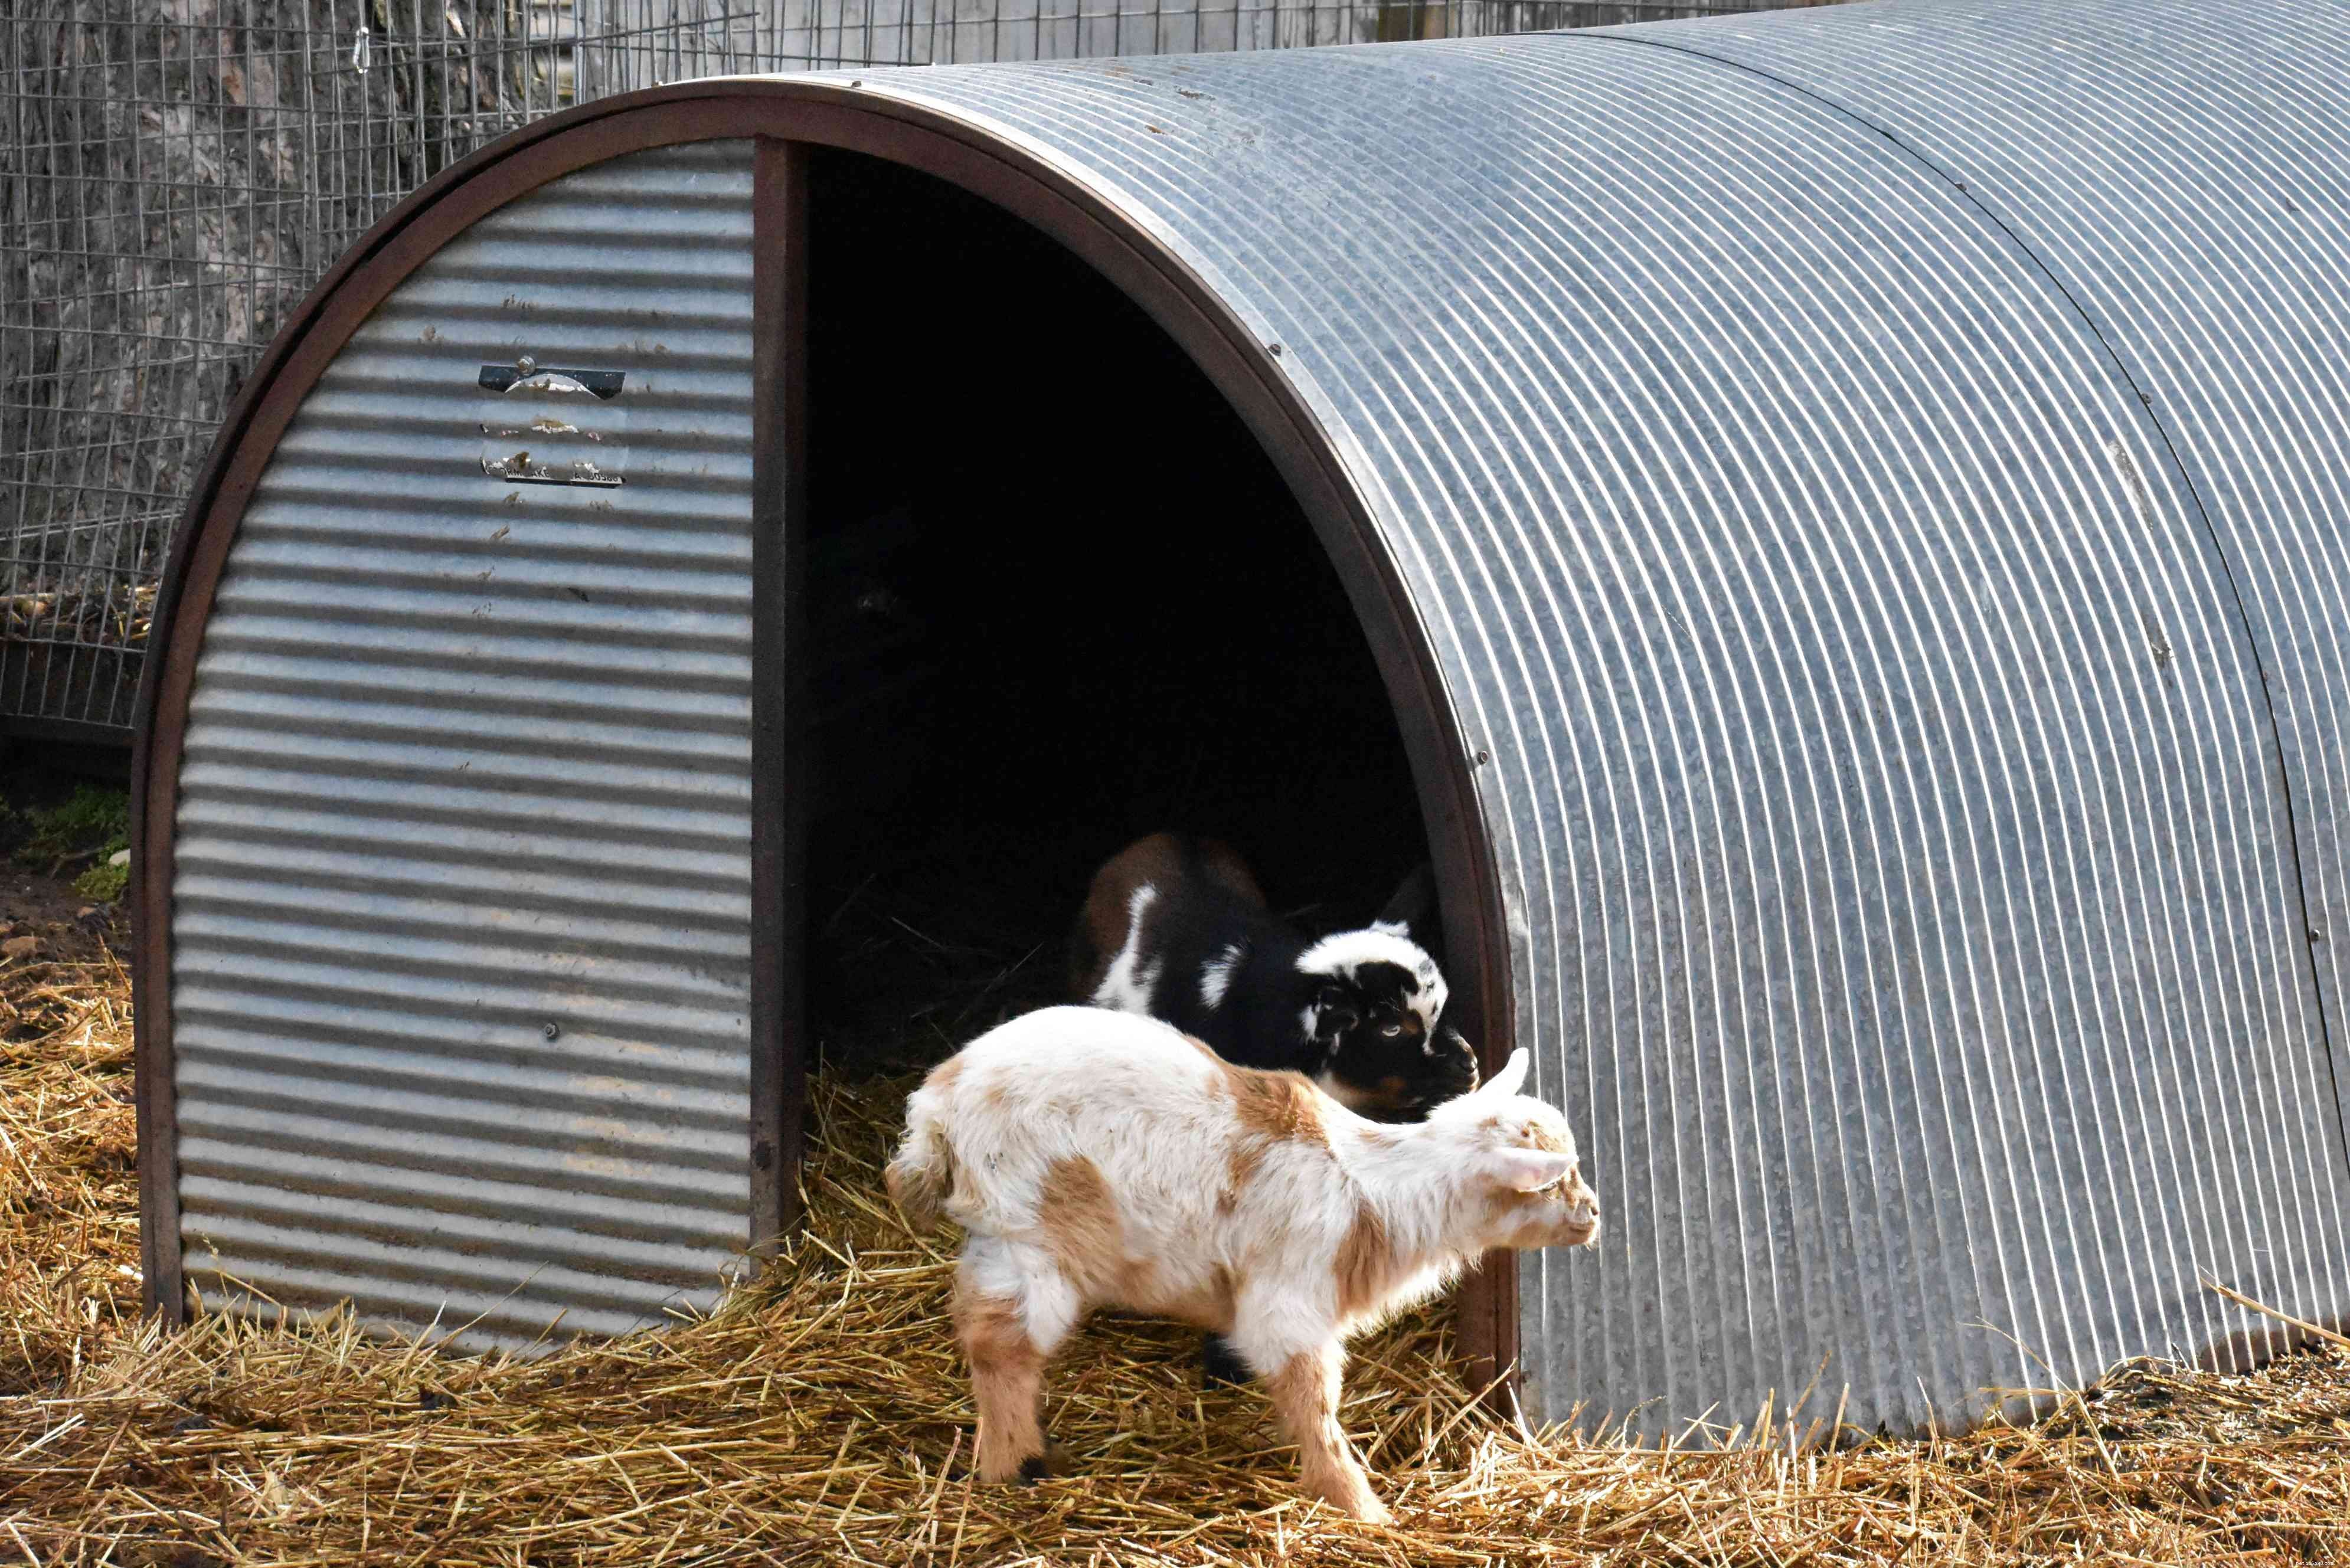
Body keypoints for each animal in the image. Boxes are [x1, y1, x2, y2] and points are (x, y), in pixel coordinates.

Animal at [887, 1006, 1600, 1523]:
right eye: (1550, 1182)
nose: (1593, 1214)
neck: (1375, 1188)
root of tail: (933, 1112)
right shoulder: (1289, 1303)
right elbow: (1313, 1401)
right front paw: (1362, 1508)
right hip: (1030, 1238)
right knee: (1000, 1345)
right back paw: (1012, 1466)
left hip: (996, 1239)